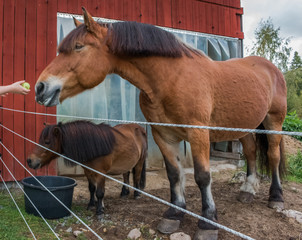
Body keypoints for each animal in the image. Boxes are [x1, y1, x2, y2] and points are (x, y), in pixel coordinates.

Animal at [34, 7, 286, 240]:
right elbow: (174, 174)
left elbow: (202, 176)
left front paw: (208, 222)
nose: (40, 88)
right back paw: (248, 190)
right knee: (251, 153)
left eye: (79, 46)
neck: (171, 79)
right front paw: (174, 214)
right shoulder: (163, 135)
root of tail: (270, 68)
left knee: (273, 156)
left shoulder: (198, 134)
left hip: (274, 121)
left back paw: (276, 197)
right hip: (244, 126)